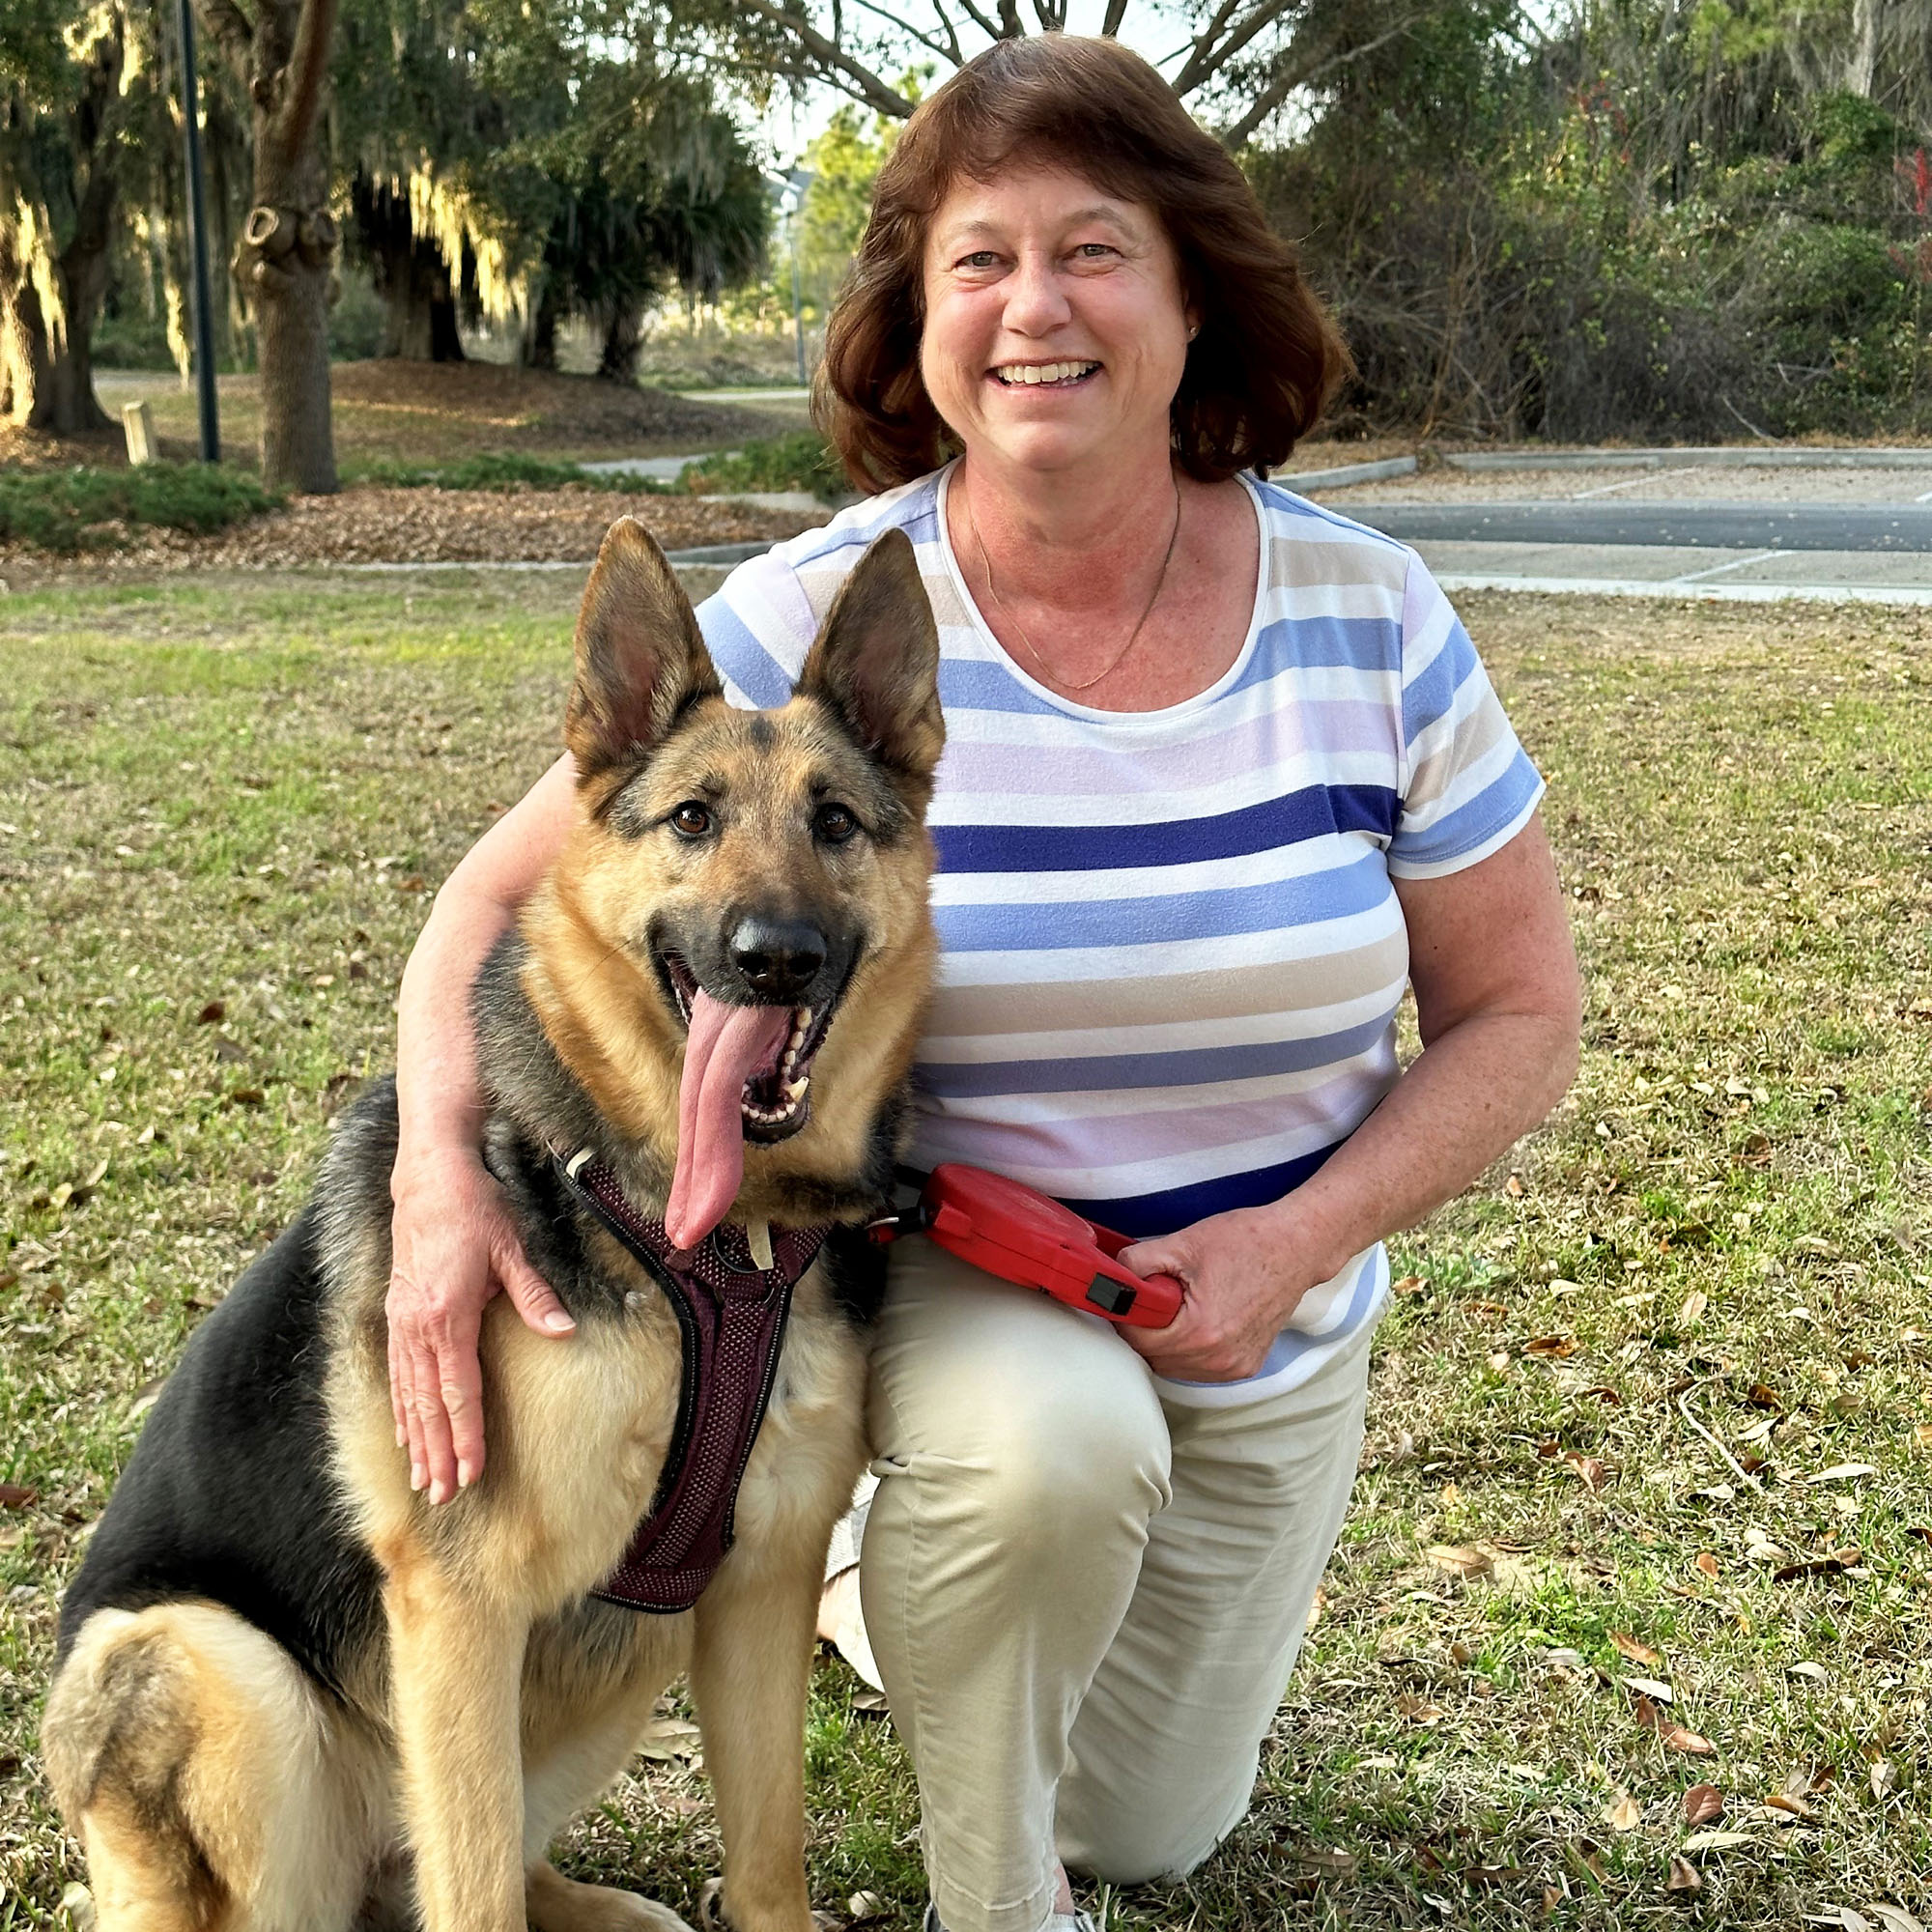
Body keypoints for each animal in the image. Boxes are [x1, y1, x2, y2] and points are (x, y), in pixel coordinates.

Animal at [42, 518, 947, 1932]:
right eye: (692, 819)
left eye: (837, 822)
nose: (774, 955)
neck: (714, 1243)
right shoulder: (462, 1602)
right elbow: (471, 1897)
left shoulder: (760, 1583)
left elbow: (768, 1864)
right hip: (218, 1663)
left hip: (624, 1648)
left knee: (472, 1861)